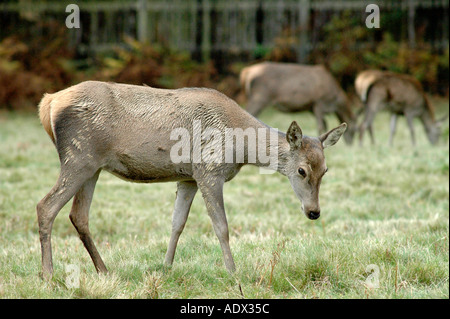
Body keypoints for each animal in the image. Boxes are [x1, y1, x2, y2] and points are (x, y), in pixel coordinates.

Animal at [37, 81, 346, 282]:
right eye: (302, 171)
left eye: (326, 170)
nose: (314, 212)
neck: (241, 146)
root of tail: (47, 103)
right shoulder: (209, 170)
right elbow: (221, 227)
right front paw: (233, 273)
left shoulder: (188, 178)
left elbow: (177, 224)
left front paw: (165, 268)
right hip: (78, 156)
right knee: (46, 206)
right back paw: (49, 275)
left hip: (93, 167)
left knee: (78, 215)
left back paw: (104, 270)